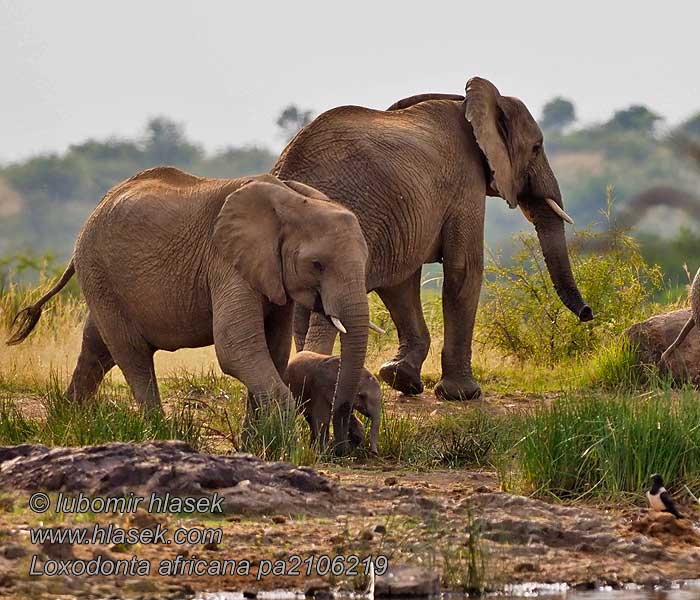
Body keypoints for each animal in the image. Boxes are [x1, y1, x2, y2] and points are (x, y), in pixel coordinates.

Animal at [6, 166, 372, 452]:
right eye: (317, 264)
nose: (348, 442)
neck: (294, 201)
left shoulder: (272, 274)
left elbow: (273, 351)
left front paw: (257, 444)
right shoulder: (225, 262)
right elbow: (236, 348)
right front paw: (284, 447)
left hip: (102, 279)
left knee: (97, 346)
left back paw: (66, 420)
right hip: (98, 271)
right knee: (131, 352)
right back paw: (159, 434)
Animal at [276, 77, 592, 400]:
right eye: (536, 148)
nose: (587, 313)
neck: (470, 104)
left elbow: (400, 284)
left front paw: (400, 378)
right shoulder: (466, 182)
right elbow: (464, 269)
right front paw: (463, 395)